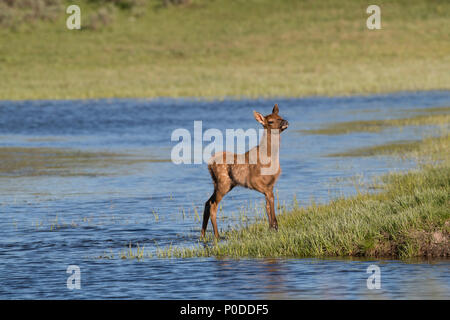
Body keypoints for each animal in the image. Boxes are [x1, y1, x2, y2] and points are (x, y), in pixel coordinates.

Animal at [201, 105, 288, 238]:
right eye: (270, 121)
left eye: (280, 116)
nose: (285, 122)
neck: (269, 157)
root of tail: (209, 164)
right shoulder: (254, 181)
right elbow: (271, 198)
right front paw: (274, 226)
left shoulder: (270, 184)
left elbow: (268, 204)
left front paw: (272, 228)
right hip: (223, 182)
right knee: (213, 205)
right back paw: (217, 236)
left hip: (224, 183)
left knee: (207, 202)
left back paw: (203, 235)